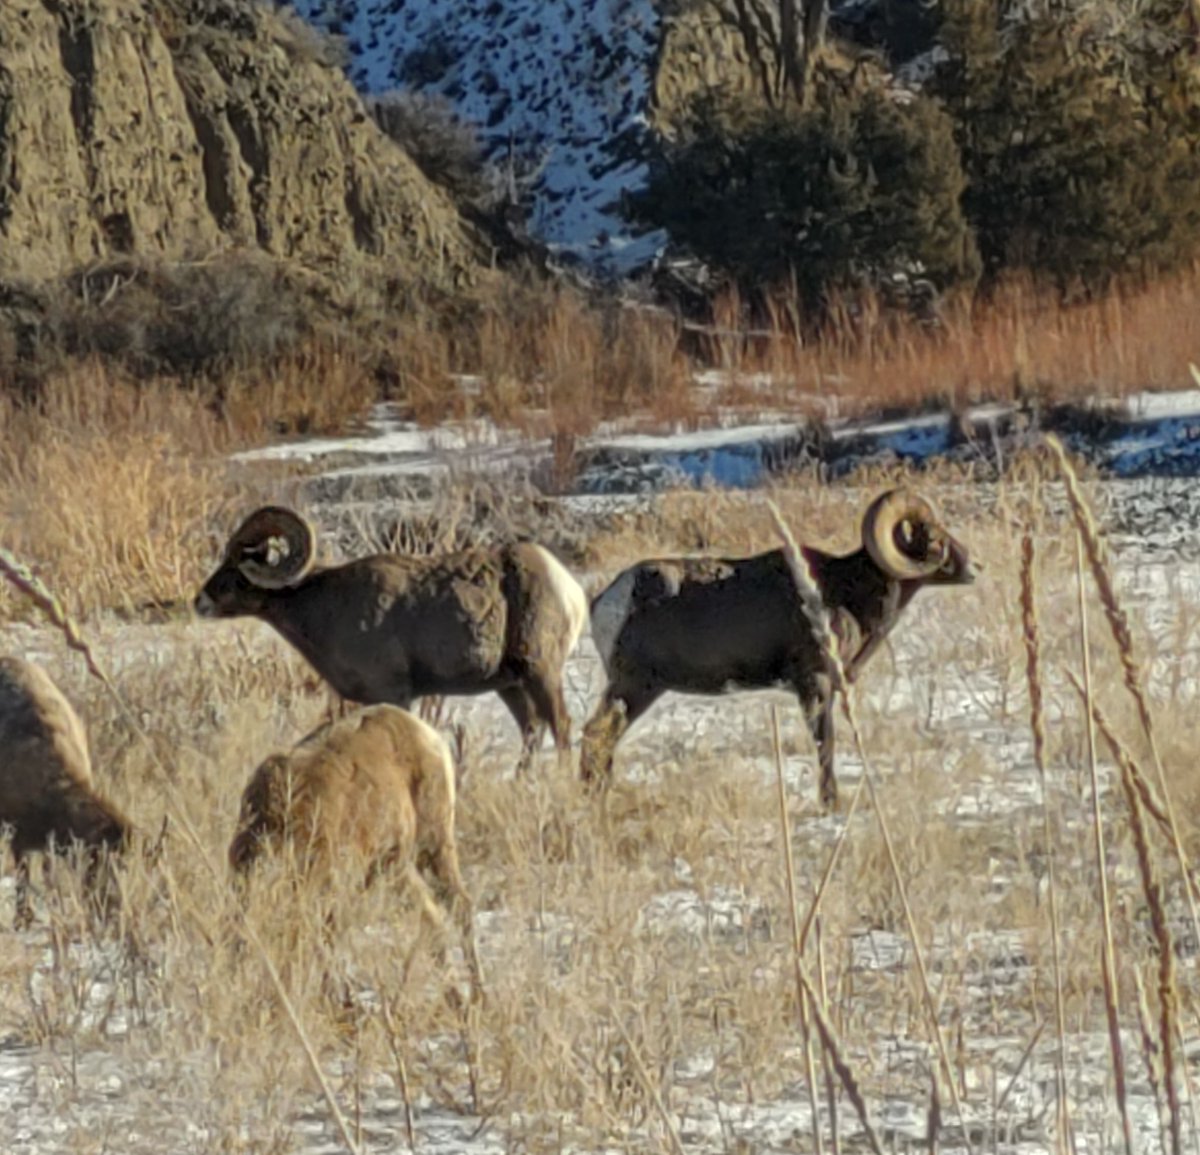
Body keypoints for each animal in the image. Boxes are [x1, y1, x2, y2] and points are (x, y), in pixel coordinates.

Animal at [195, 506, 588, 774]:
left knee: (561, 725)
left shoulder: (394, 695)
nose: (200, 602)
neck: (325, 607)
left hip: (540, 672)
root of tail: (570, 589)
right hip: (510, 685)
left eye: (238, 563)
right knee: (532, 730)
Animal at [229, 704, 480, 990]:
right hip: (396, 866)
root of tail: (429, 734)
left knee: (459, 904)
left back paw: (476, 992)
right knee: (433, 914)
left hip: (433, 844)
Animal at [581, 488, 976, 808]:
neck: (847, 594)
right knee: (597, 736)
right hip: (634, 687)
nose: (975, 567)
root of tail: (606, 601)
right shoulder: (815, 685)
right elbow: (825, 743)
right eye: (934, 537)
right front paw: (830, 804)